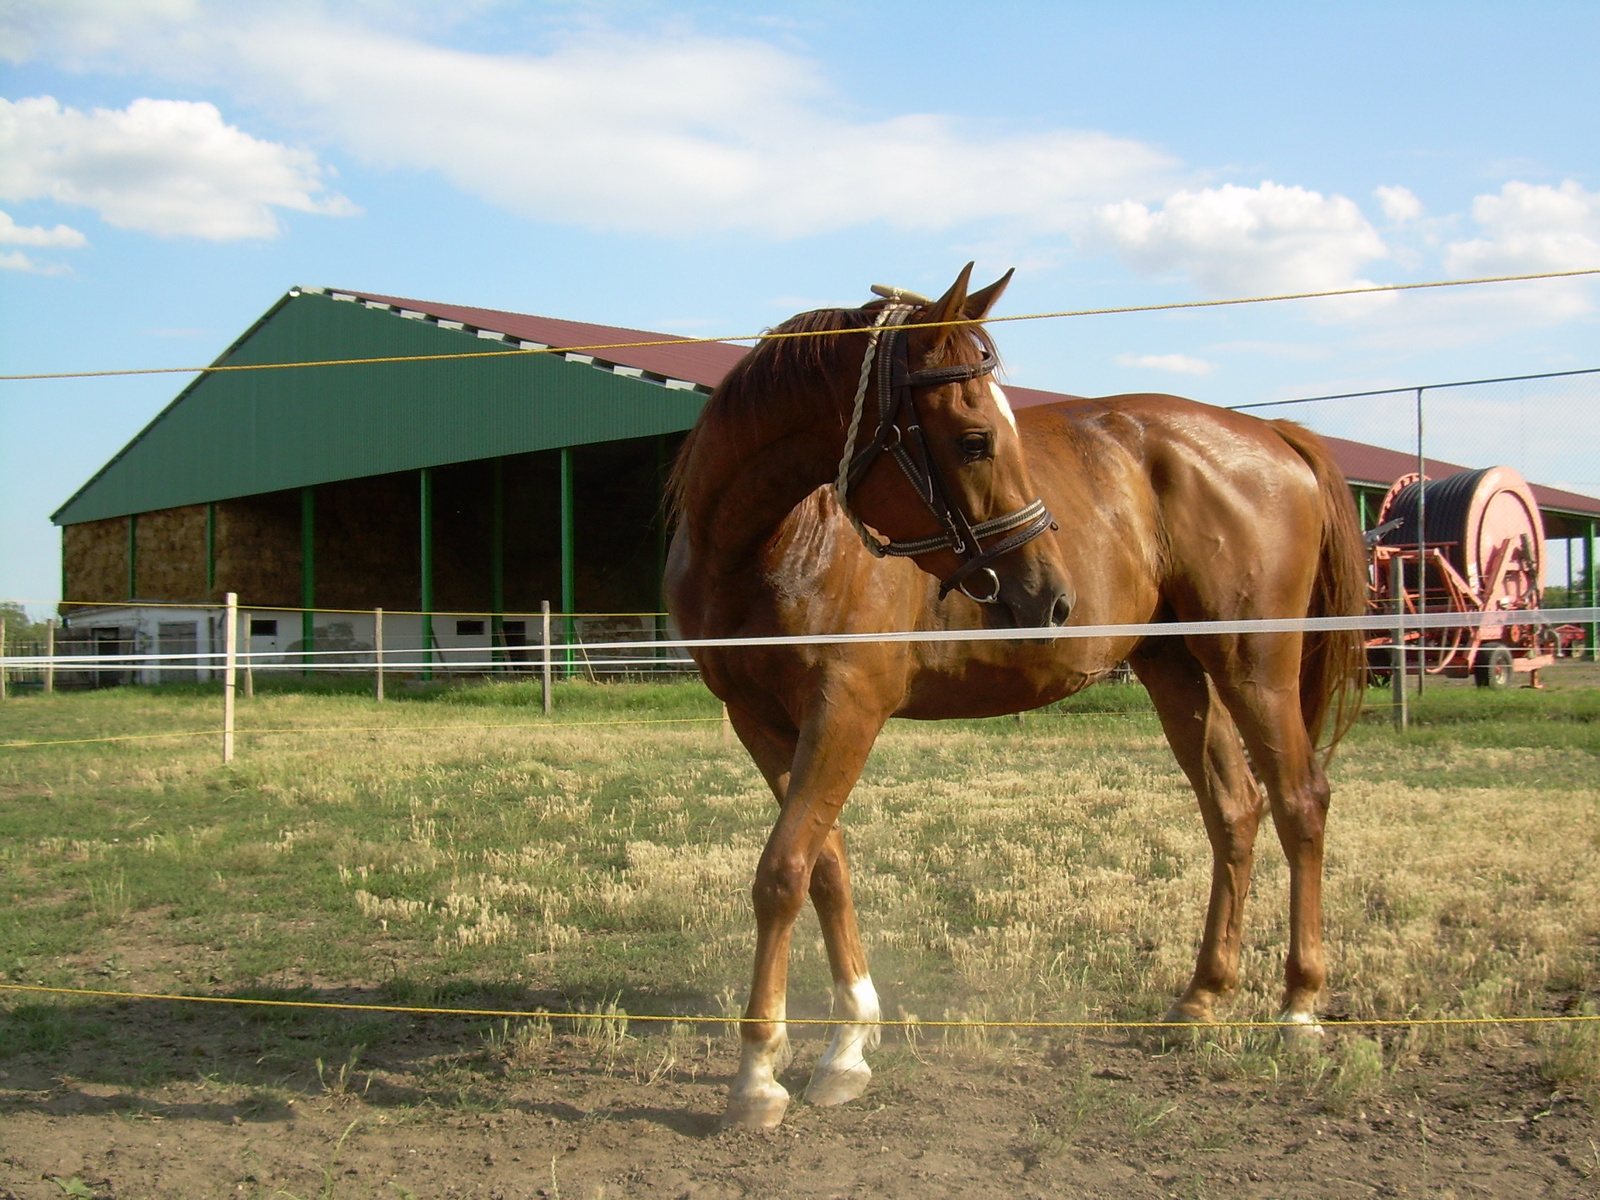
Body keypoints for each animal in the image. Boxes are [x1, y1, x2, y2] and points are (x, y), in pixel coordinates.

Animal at [662, 260, 1363, 1126]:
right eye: (975, 439)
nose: (1054, 599)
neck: (770, 542)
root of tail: (1271, 438)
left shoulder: (846, 708)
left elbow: (783, 872)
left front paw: (759, 1072)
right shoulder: (759, 720)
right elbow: (825, 865)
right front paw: (850, 1042)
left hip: (1253, 662)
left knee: (1300, 801)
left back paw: (1299, 1009)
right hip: (1176, 669)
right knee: (1234, 810)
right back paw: (1203, 998)